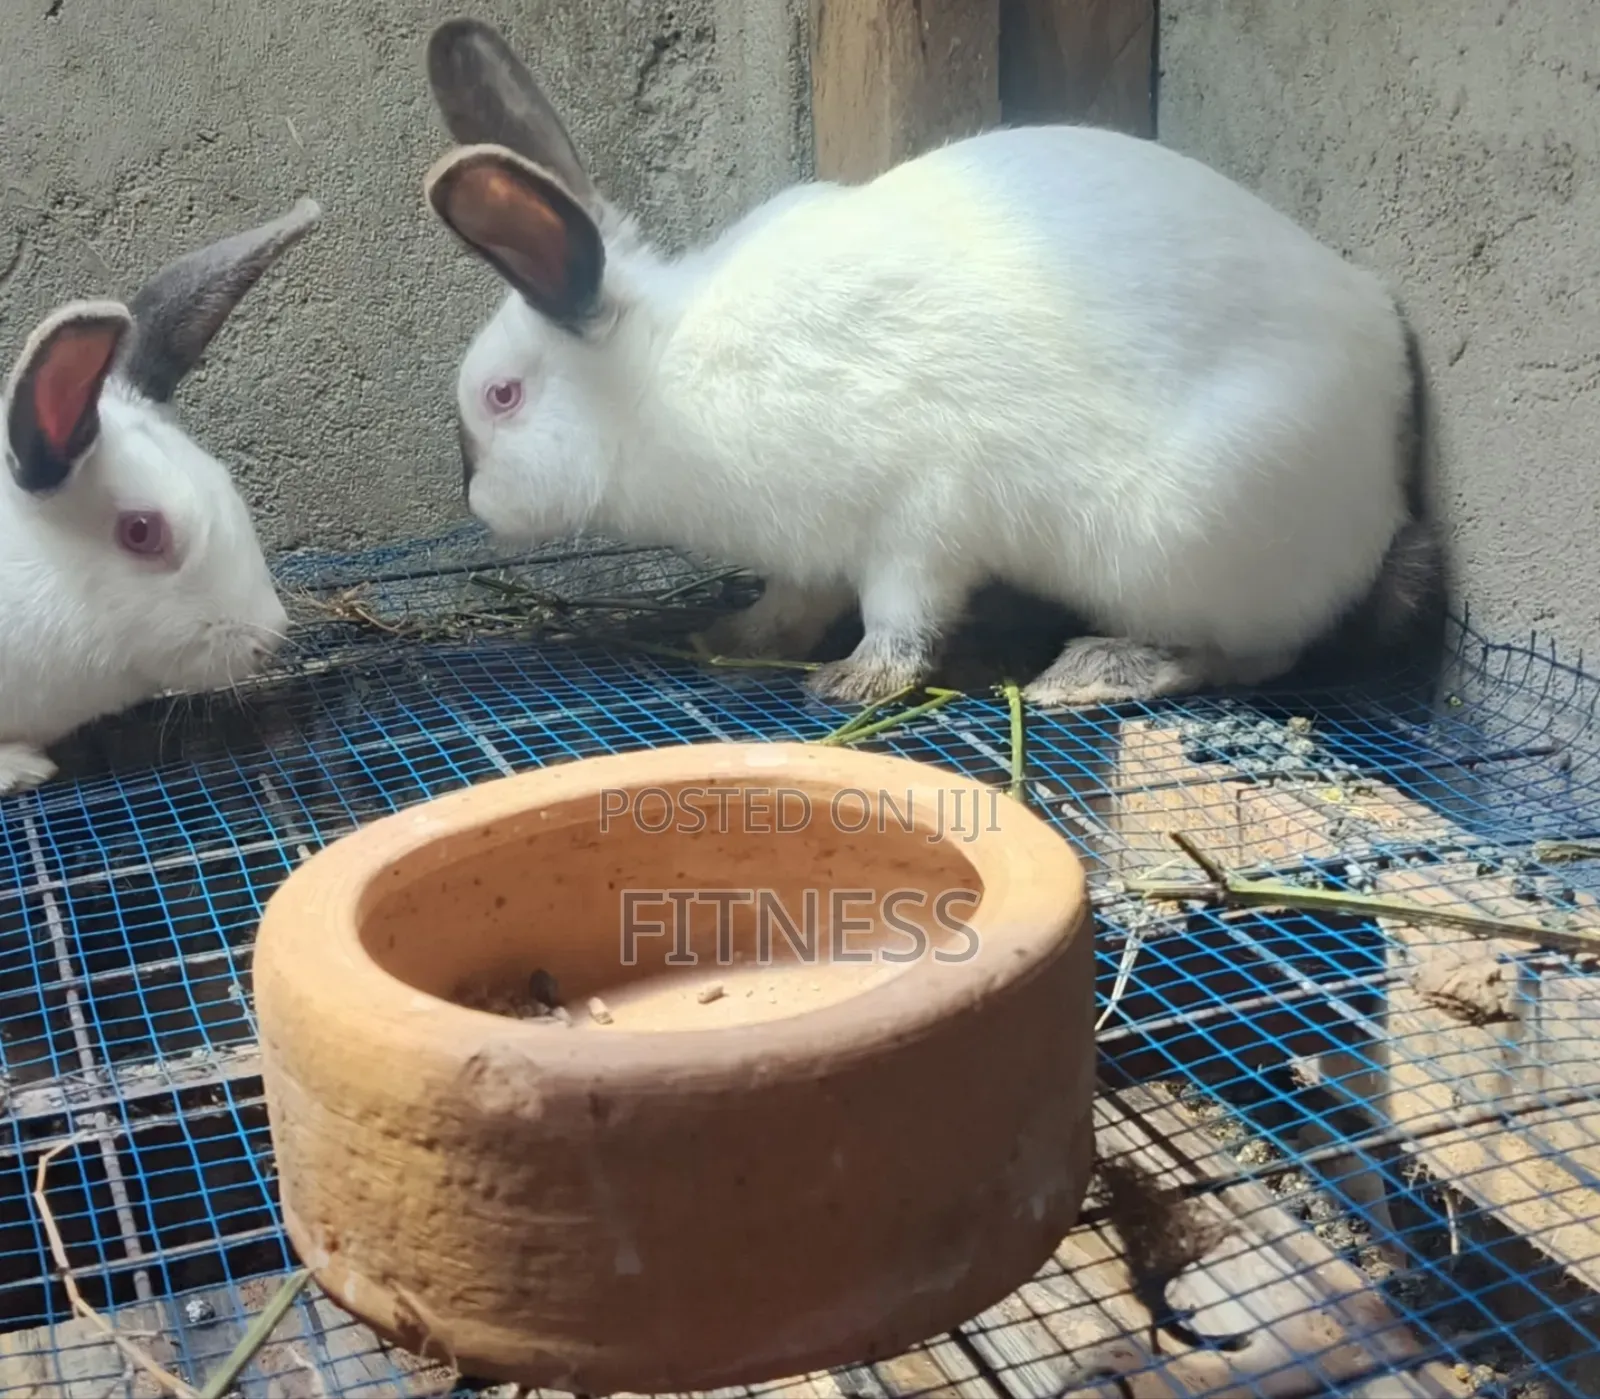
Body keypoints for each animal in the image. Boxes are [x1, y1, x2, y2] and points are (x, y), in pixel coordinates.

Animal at [419, 18, 1447, 709]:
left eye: (503, 397)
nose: (474, 499)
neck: (660, 378)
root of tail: (1385, 479)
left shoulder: (918, 521)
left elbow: (902, 618)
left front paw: (852, 682)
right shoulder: (812, 547)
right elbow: (792, 602)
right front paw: (733, 636)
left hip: (1190, 535)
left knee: (1260, 652)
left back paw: (1094, 671)